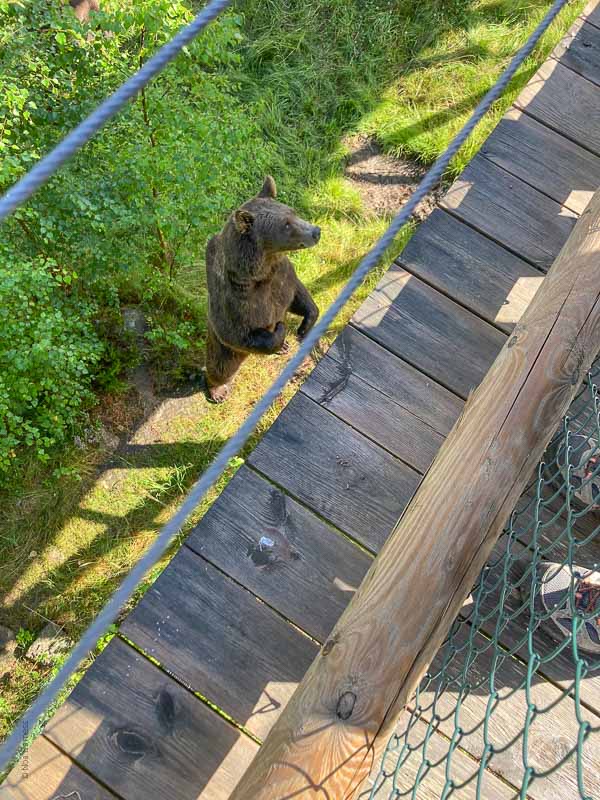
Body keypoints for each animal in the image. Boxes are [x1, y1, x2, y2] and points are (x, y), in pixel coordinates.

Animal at [205, 175, 322, 400]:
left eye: (293, 212)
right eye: (286, 225)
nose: (316, 231)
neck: (260, 273)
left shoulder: (282, 277)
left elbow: (299, 296)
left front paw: (304, 326)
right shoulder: (237, 303)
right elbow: (239, 333)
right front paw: (281, 330)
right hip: (223, 348)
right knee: (220, 366)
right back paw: (218, 390)